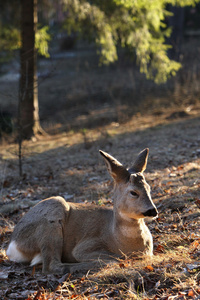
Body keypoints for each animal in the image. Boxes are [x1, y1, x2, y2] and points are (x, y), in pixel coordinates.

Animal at [6, 148, 158, 274]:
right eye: (133, 192)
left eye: (149, 188)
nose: (153, 211)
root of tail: (12, 246)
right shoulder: (84, 247)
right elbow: (114, 258)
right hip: (52, 215)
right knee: (51, 265)